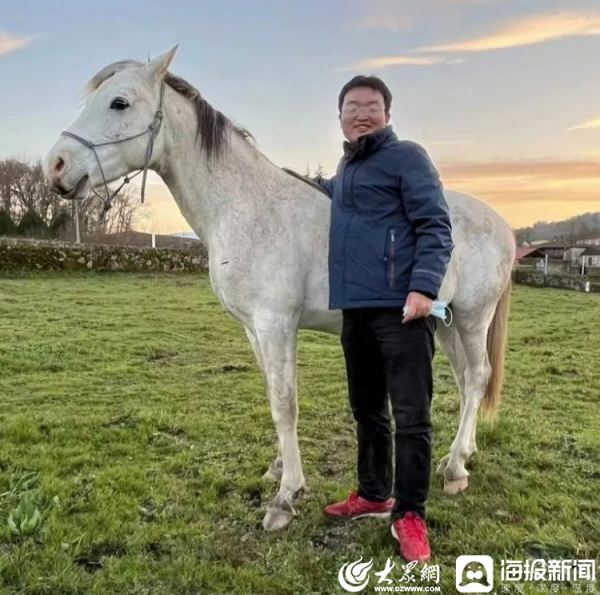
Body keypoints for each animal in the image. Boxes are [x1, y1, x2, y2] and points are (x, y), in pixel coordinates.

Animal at [43, 47, 516, 531]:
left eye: (119, 102)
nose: (55, 166)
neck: (247, 206)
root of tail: (502, 225)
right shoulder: (253, 328)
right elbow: (273, 394)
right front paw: (277, 467)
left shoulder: (276, 324)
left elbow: (285, 403)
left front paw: (286, 495)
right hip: (446, 324)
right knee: (466, 379)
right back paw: (462, 454)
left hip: (472, 318)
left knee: (478, 377)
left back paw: (456, 467)